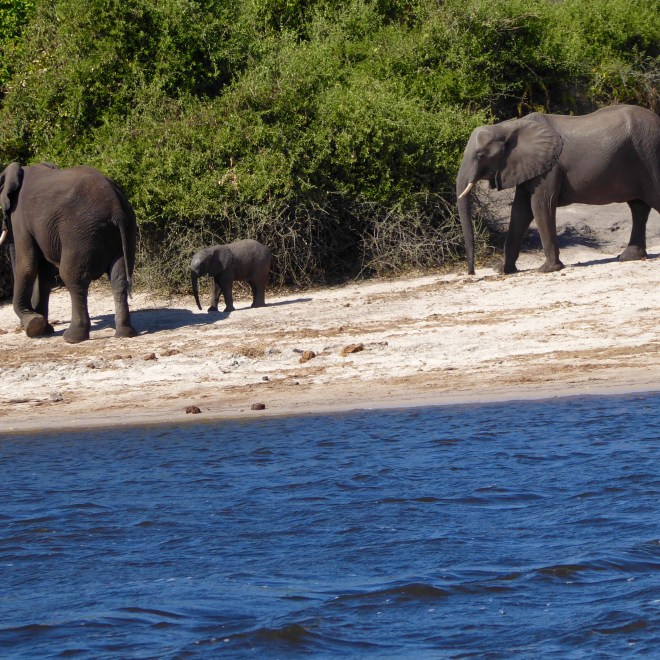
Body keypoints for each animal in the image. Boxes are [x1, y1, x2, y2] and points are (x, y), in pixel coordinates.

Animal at [0, 162, 138, 343]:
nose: (23, 325)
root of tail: (116, 208)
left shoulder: (20, 217)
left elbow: (28, 263)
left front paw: (34, 326)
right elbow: (44, 273)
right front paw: (43, 329)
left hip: (80, 233)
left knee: (72, 277)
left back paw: (72, 337)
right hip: (126, 228)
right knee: (119, 278)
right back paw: (125, 333)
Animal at [456, 104, 660, 275]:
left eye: (480, 155)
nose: (471, 273)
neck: (507, 126)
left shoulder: (550, 168)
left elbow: (539, 205)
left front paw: (547, 269)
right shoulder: (529, 166)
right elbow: (520, 210)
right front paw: (502, 270)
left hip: (650, 154)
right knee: (638, 208)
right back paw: (629, 257)